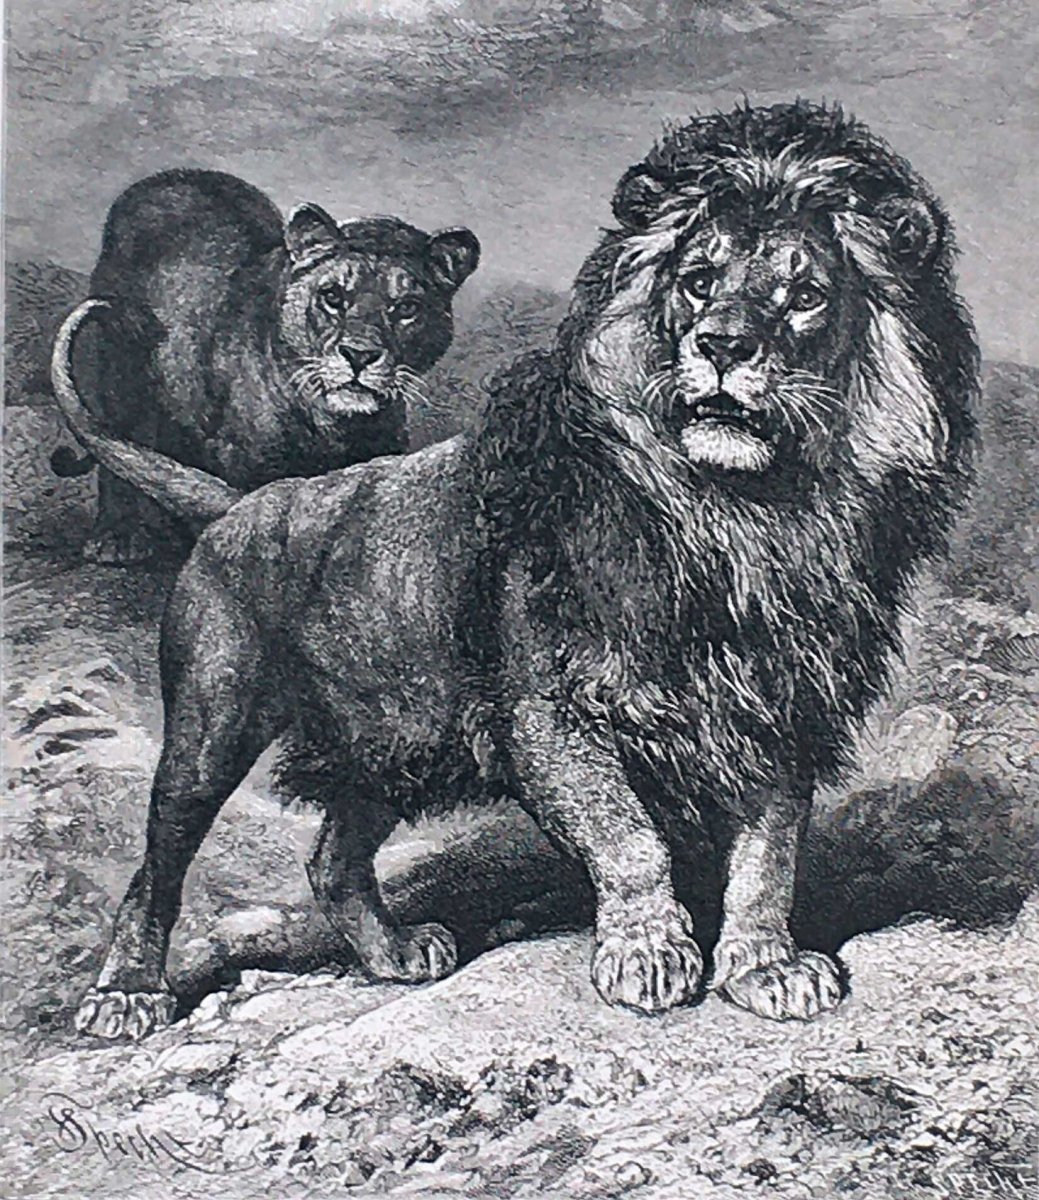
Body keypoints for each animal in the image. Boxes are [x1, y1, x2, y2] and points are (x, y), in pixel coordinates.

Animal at [50, 168, 480, 563]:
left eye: (406, 308)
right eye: (332, 297)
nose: (358, 355)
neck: (336, 423)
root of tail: (167, 177)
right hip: (116, 370)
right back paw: (117, 539)